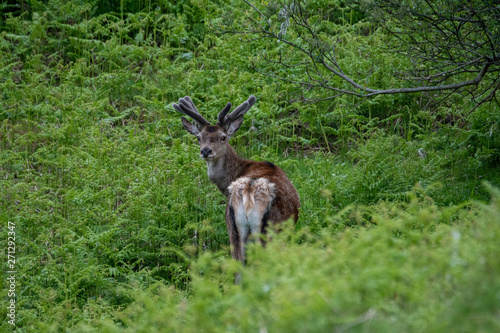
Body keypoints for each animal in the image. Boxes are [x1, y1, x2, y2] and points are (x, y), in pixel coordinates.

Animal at [174, 95, 298, 264]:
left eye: (223, 137)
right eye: (199, 138)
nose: (205, 151)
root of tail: (248, 191)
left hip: (233, 227)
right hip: (271, 229)